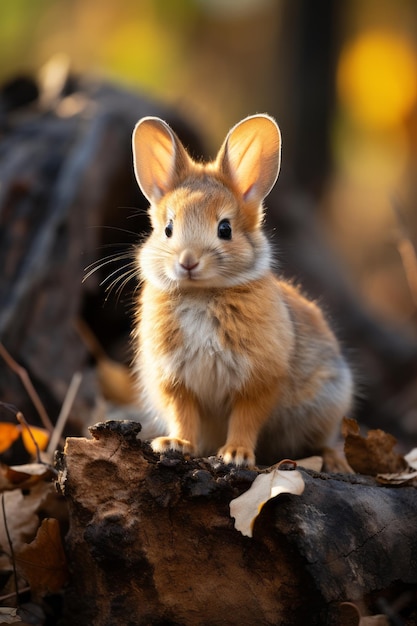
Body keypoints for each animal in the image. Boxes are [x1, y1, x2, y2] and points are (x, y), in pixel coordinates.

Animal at [130, 113, 352, 464]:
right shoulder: (176, 381)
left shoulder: (259, 381)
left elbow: (246, 418)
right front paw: (176, 444)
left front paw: (236, 454)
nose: (188, 261)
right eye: (168, 228)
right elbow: (183, 414)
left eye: (225, 229)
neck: (202, 294)